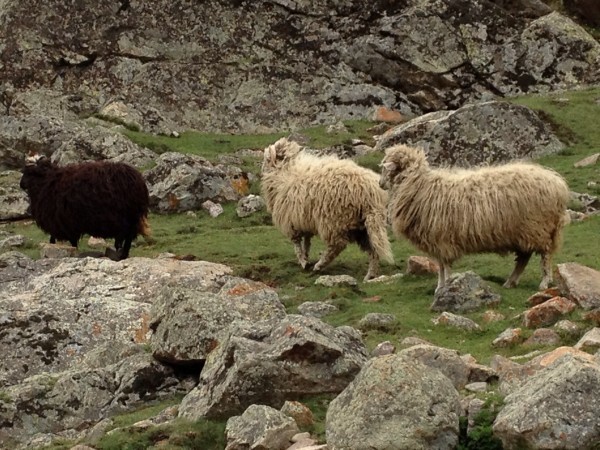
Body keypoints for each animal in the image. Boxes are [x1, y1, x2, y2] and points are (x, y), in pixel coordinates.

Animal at [19, 155, 151, 260]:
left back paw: (120, 255)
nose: (21, 184)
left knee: (126, 238)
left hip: (126, 217)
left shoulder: (62, 221)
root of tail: (138, 182)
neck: (47, 182)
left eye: (29, 172)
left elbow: (63, 241)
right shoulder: (64, 222)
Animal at [262, 136, 394, 282]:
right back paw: (370, 275)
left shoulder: (291, 222)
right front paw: (306, 258)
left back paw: (319, 266)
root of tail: (369, 192)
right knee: (373, 249)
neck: (283, 173)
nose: (262, 168)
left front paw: (303, 261)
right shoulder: (304, 219)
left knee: (337, 245)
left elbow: (297, 244)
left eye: (267, 158)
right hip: (363, 225)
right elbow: (307, 241)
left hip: (333, 220)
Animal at [382, 145, 568, 292]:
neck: (419, 186)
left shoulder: (443, 240)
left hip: (538, 227)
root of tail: (557, 184)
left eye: (387, 169)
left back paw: (544, 282)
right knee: (524, 257)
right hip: (524, 232)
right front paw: (439, 287)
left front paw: (446, 286)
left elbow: (445, 267)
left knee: (545, 254)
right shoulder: (437, 242)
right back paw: (510, 282)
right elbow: (441, 266)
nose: (380, 184)